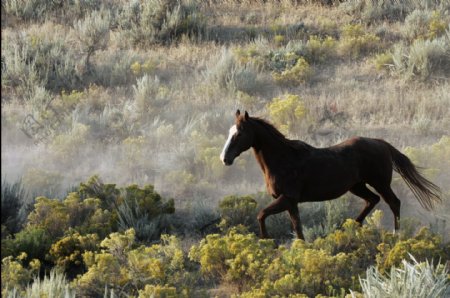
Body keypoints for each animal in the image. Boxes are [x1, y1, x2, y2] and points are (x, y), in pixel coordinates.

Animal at [220, 110, 442, 240]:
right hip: (357, 186)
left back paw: (396, 235)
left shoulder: (287, 198)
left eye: (239, 133)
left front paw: (267, 240)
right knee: (372, 200)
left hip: (380, 183)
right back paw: (351, 226)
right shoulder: (291, 202)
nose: (225, 158)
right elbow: (297, 227)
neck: (283, 159)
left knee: (393, 202)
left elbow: (261, 214)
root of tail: (381, 143)